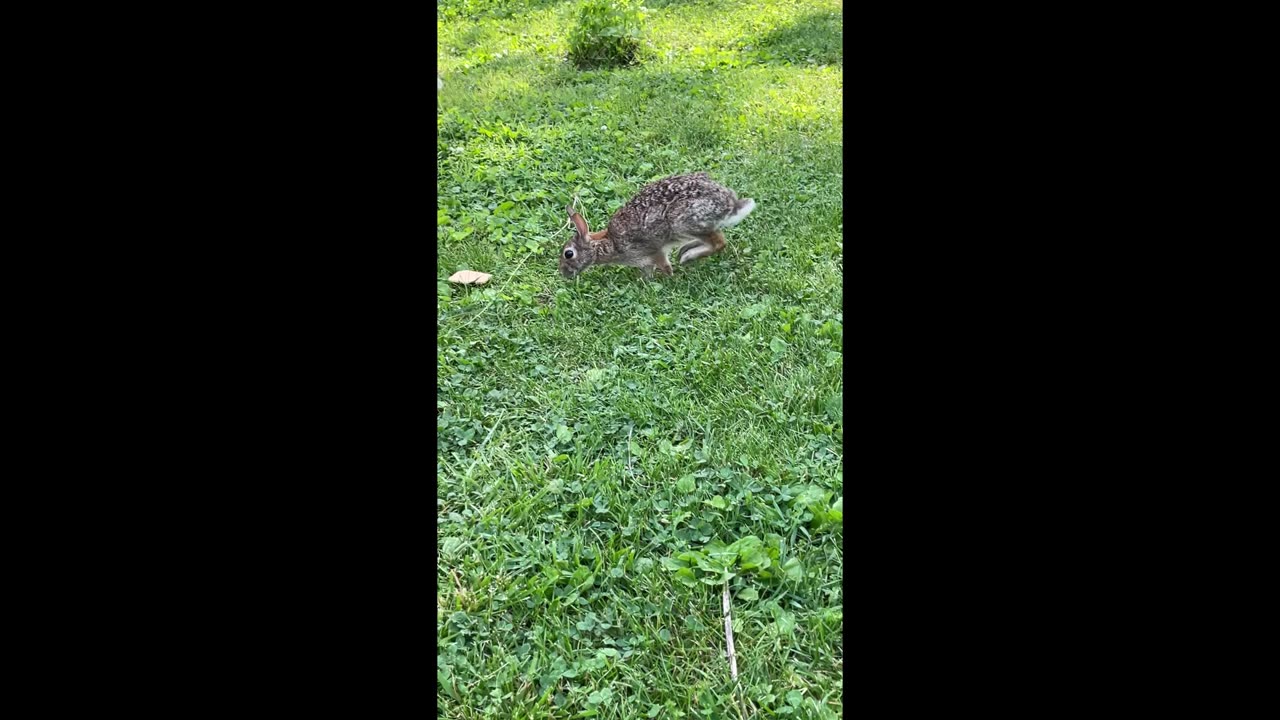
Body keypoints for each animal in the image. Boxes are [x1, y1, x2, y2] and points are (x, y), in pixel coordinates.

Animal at [559, 172, 755, 279]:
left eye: (569, 254)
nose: (564, 274)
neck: (609, 243)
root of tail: (729, 204)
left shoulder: (653, 252)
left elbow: (664, 266)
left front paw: (668, 278)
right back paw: (686, 250)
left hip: (683, 222)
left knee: (719, 243)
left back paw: (688, 256)